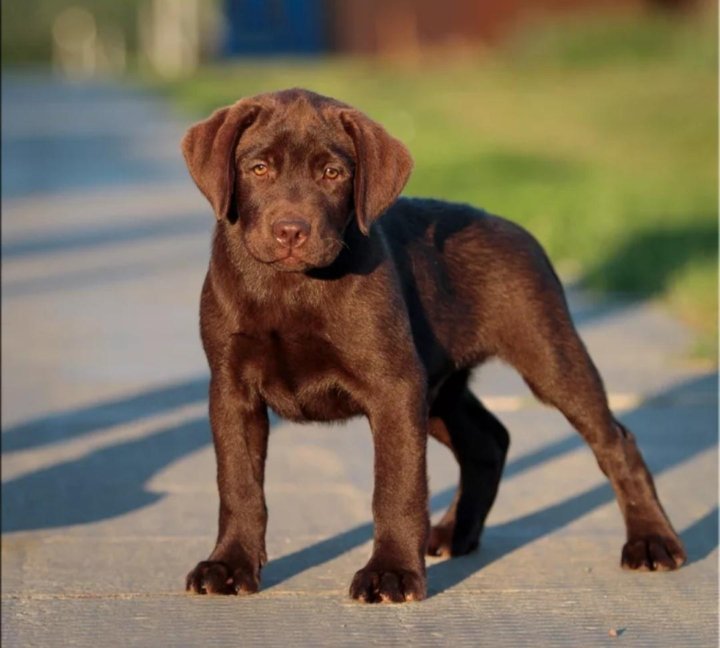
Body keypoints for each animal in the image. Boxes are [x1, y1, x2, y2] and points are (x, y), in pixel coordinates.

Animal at [180, 87, 688, 604]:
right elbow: (239, 484)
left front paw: (391, 572)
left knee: (614, 441)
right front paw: (229, 564)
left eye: (333, 173)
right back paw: (455, 533)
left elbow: (397, 487)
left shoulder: (395, 387)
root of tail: (513, 226)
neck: (292, 287)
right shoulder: (232, 389)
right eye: (258, 168)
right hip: (439, 389)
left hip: (547, 356)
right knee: (488, 441)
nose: (290, 231)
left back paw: (652, 542)